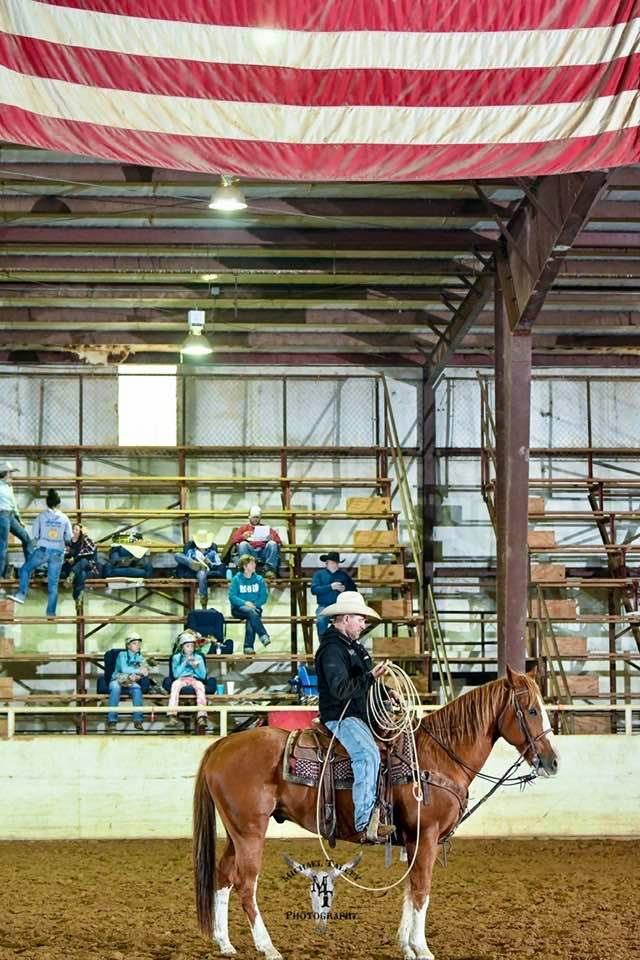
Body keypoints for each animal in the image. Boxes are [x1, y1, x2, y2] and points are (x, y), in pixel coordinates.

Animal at [192, 668, 556, 960]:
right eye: (532, 710)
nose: (552, 762)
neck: (437, 756)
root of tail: (221, 745)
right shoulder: (426, 837)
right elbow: (421, 890)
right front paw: (422, 948)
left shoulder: (414, 841)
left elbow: (410, 889)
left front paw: (407, 946)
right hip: (251, 830)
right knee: (245, 883)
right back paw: (267, 947)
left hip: (236, 831)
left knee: (224, 876)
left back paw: (225, 944)